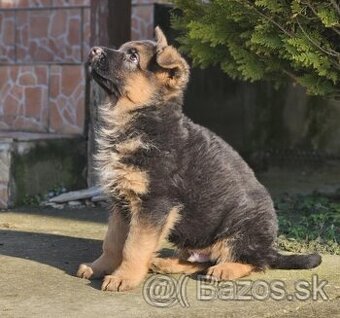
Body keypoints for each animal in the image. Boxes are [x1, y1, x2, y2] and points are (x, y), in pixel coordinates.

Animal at [77, 28, 322, 294]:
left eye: (132, 57)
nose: (93, 50)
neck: (140, 120)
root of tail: (270, 248)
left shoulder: (154, 203)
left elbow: (133, 246)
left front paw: (124, 277)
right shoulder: (121, 201)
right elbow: (112, 241)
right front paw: (100, 267)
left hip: (242, 227)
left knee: (254, 262)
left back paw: (226, 269)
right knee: (201, 261)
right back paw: (166, 263)